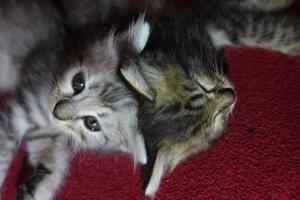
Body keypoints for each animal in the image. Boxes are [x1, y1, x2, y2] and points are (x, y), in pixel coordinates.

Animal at [0, 0, 150, 199]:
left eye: (92, 123)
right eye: (78, 82)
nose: (56, 111)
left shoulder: (46, 130)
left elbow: (55, 159)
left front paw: (39, 188)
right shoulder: (19, 111)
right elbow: (3, 152)